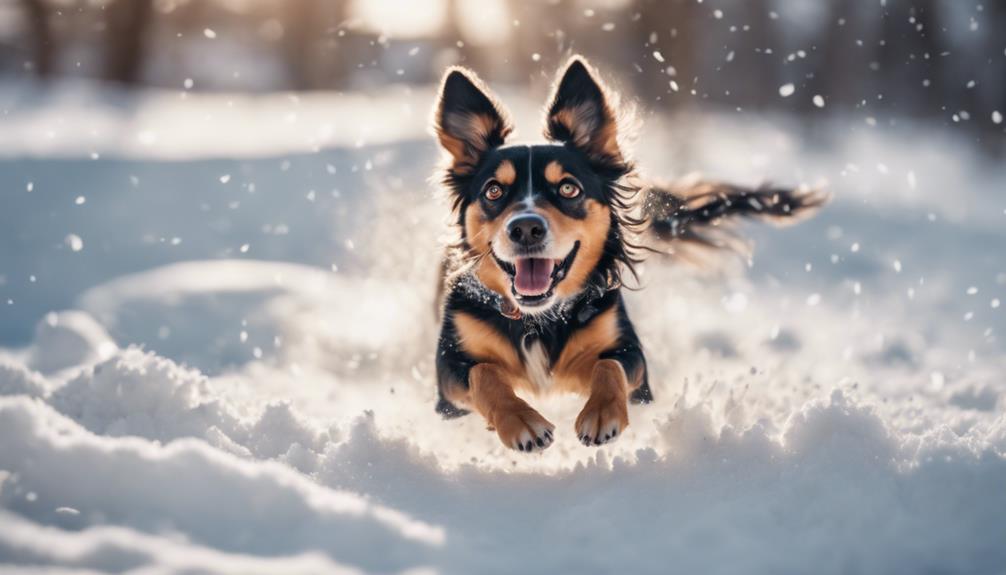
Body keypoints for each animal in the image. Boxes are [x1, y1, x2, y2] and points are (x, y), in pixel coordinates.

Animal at [432, 56, 824, 452]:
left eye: (569, 188)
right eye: (494, 191)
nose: (525, 228)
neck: (538, 320)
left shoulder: (632, 359)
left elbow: (610, 367)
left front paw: (601, 414)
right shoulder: (448, 380)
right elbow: (485, 373)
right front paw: (522, 422)